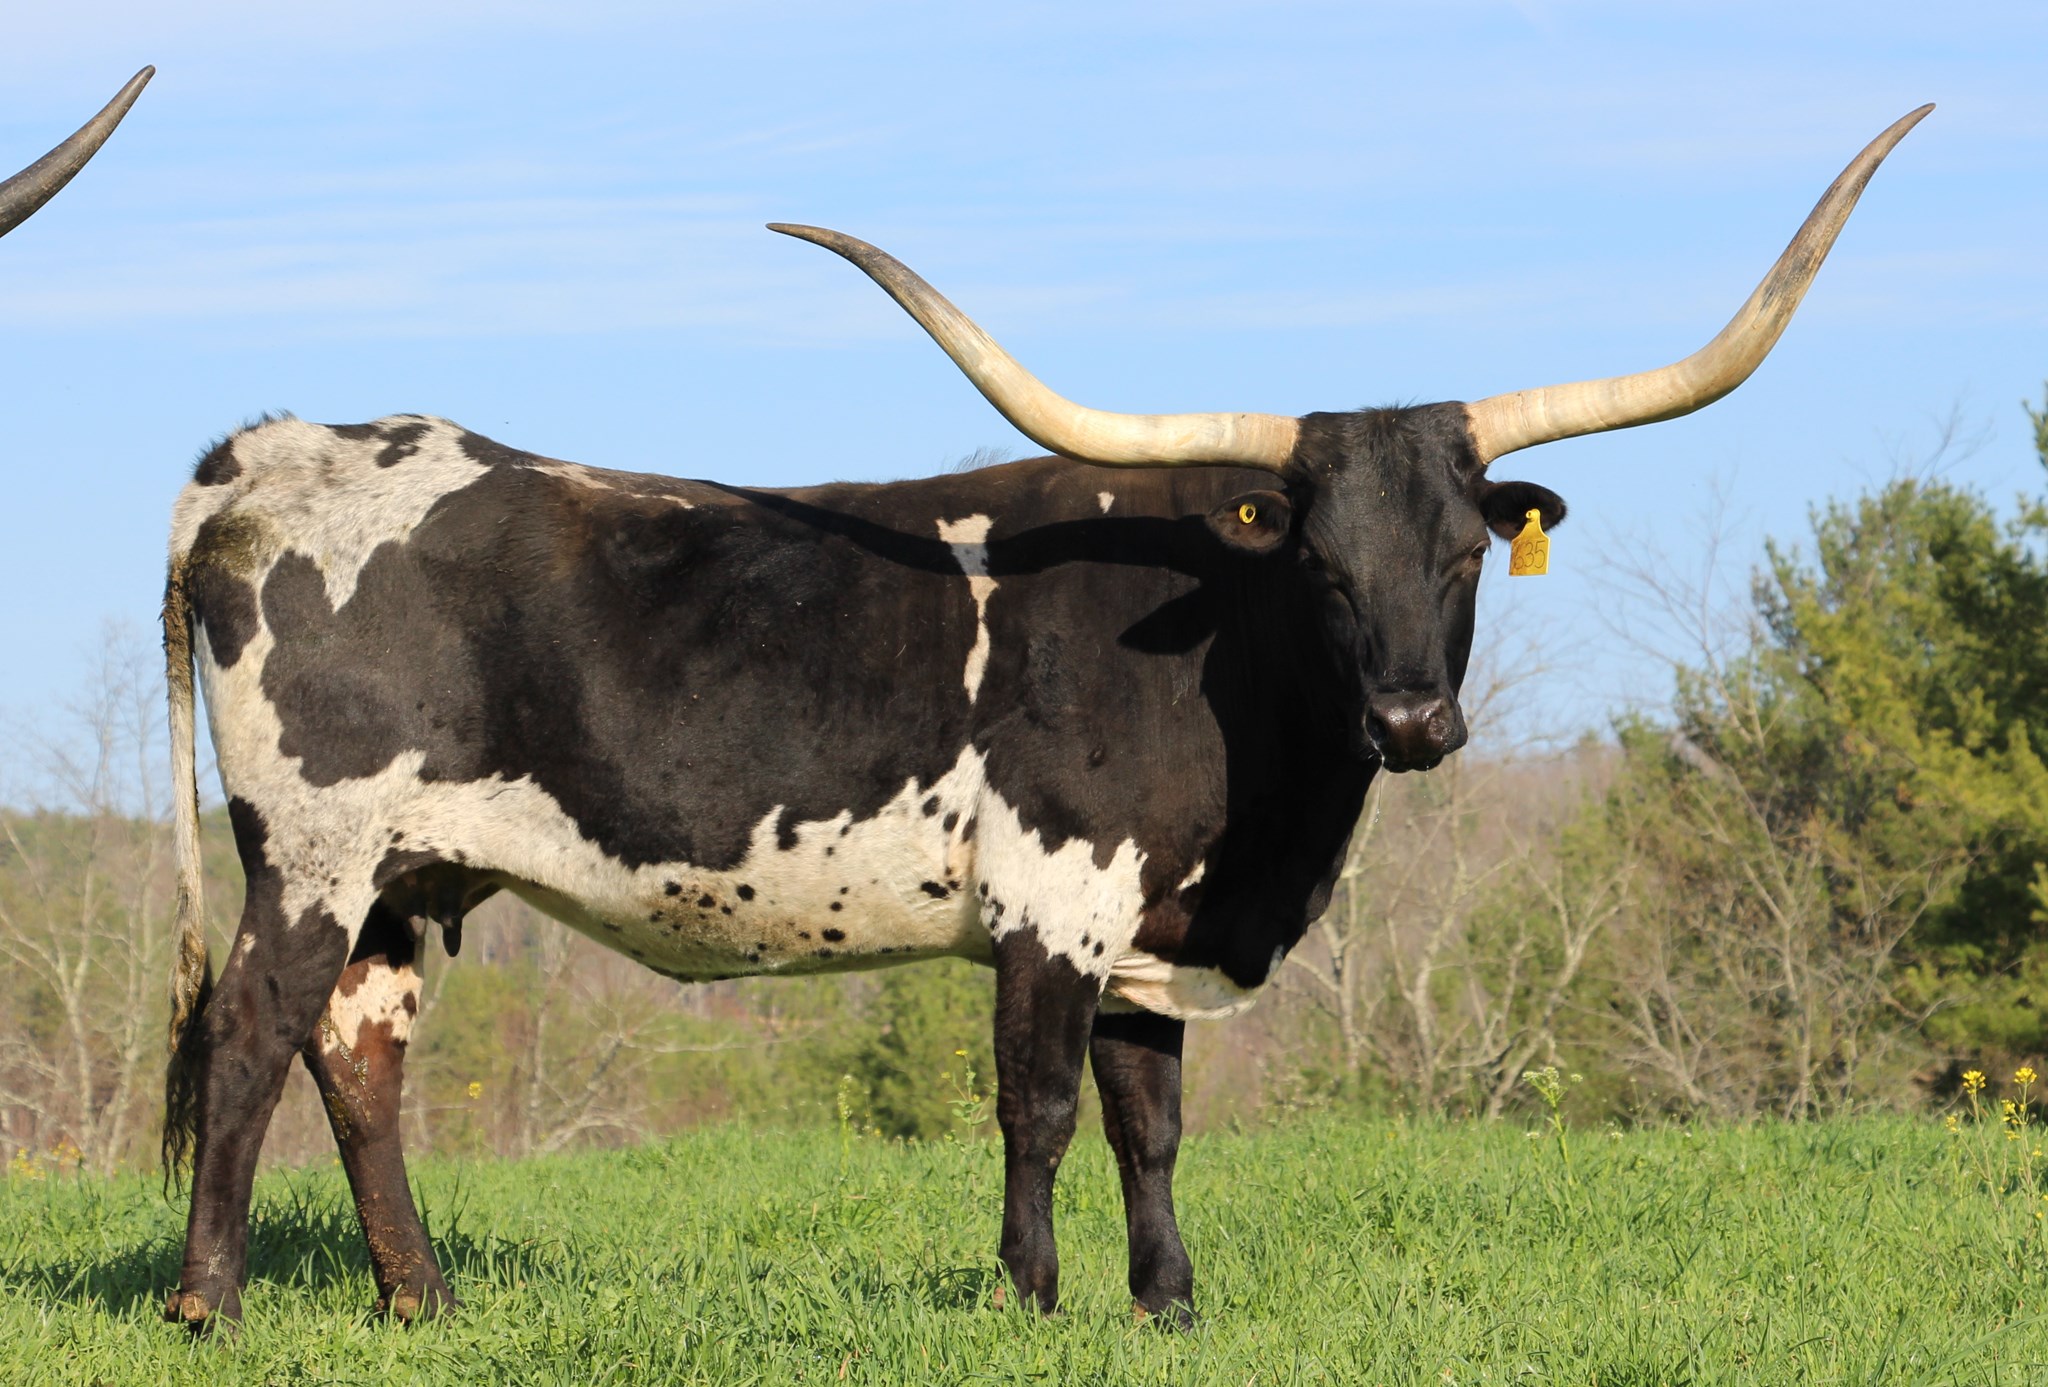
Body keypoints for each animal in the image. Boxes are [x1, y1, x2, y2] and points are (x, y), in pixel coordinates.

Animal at [159, 106, 1929, 1331]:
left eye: (1461, 552)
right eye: (1320, 559)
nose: (1419, 717)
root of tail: (268, 452)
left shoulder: (1154, 926)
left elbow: (1154, 1120)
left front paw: (1170, 1300)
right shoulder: (1052, 900)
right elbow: (1043, 1104)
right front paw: (1029, 1290)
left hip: (400, 874)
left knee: (357, 1052)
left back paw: (420, 1297)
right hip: (311, 849)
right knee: (252, 1033)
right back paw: (209, 1299)